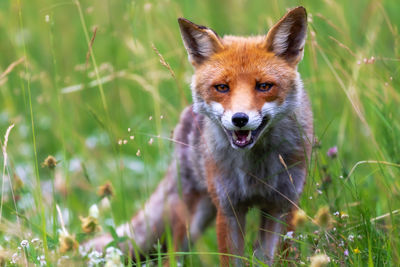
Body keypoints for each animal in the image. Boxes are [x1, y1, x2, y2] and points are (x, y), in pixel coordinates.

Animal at [86, 5, 312, 266]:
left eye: (264, 86)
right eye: (222, 87)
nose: (240, 119)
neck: (257, 171)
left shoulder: (283, 205)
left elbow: (275, 256)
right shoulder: (228, 208)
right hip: (190, 223)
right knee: (169, 258)